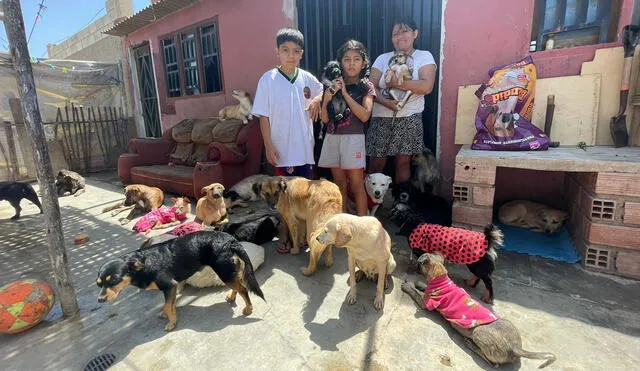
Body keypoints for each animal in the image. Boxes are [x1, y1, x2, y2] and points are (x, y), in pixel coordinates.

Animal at [95, 231, 264, 332]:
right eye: (98, 283)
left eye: (114, 279)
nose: (100, 299)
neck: (144, 264)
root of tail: (230, 239)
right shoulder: (173, 288)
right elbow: (169, 304)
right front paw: (168, 314)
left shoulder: (170, 286)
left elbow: (168, 306)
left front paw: (171, 323)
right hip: (228, 272)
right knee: (239, 285)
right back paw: (232, 296)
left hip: (224, 272)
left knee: (243, 289)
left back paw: (248, 309)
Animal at [400, 253, 556, 370]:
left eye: (419, 262)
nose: (412, 263)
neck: (440, 277)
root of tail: (515, 347)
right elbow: (423, 287)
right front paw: (420, 284)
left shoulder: (425, 304)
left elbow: (415, 293)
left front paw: (408, 285)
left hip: (478, 333)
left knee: (493, 363)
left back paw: (470, 345)